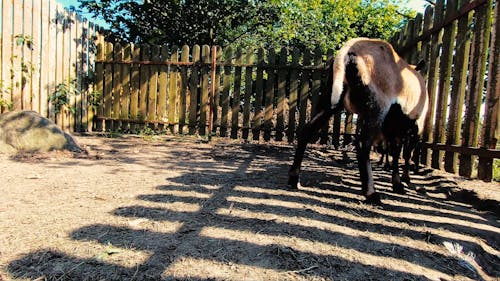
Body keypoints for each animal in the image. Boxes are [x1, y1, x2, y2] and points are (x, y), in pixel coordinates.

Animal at [290, 37, 430, 203]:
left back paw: (294, 179)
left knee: (306, 130)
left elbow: (395, 152)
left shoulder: (392, 129)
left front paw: (397, 183)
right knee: (363, 143)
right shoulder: (412, 129)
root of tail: (348, 50)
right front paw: (403, 181)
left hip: (332, 102)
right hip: (377, 107)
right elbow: (403, 153)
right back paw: (371, 193)